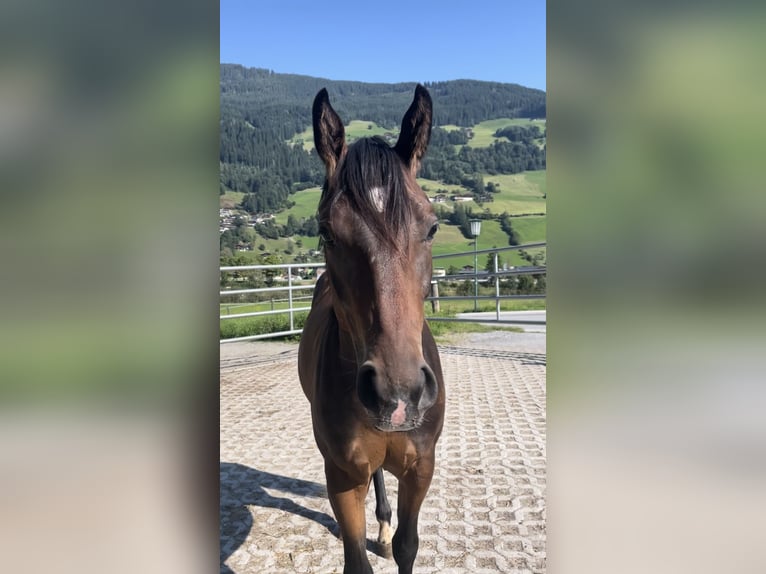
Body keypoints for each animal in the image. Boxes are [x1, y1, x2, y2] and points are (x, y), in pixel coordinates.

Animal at [298, 85, 445, 574]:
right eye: (327, 233)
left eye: (432, 227)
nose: (398, 395)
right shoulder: (342, 475)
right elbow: (355, 558)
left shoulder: (421, 468)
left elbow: (407, 545)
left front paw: (393, 538)